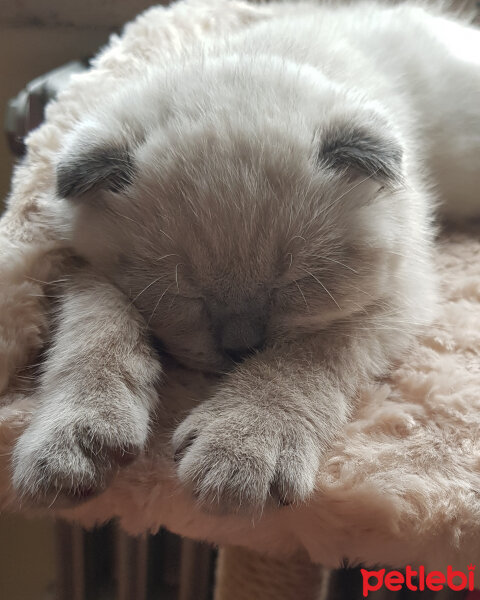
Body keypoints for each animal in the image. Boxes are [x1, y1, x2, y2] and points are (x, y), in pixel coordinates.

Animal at [12, 2, 480, 512]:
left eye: (294, 284)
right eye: (183, 293)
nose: (240, 349)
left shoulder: (401, 291)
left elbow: (304, 354)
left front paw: (243, 446)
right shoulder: (84, 269)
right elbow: (94, 331)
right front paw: (73, 439)